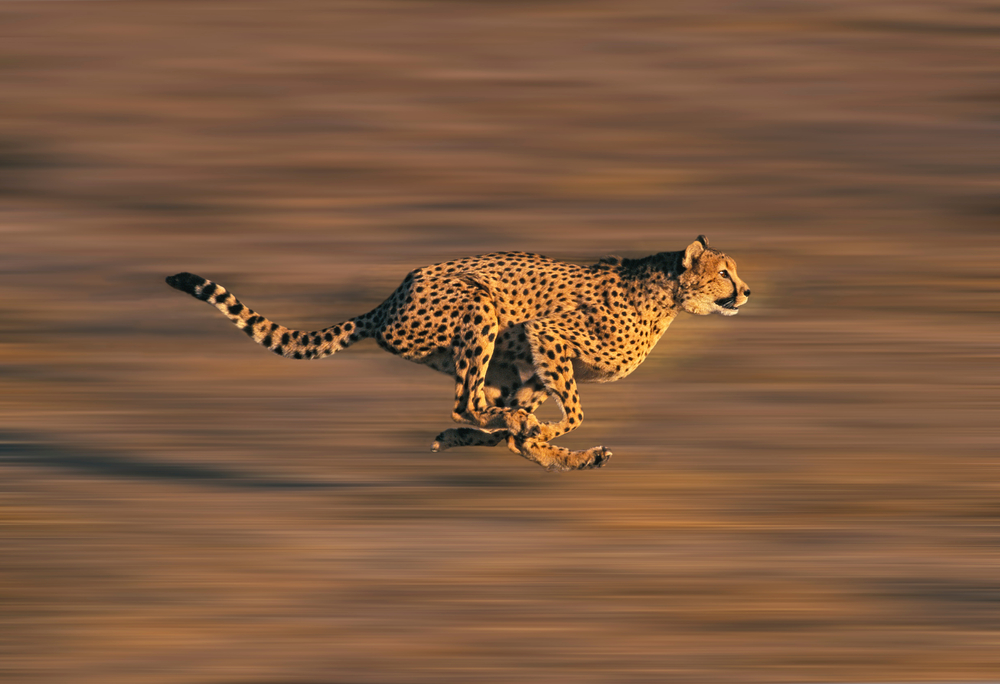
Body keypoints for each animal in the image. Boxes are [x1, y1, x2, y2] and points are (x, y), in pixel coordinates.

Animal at [166, 235, 750, 472]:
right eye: (724, 272)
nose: (746, 292)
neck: (668, 295)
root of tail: (392, 297)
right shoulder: (546, 333)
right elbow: (574, 412)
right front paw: (543, 431)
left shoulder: (533, 359)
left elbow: (534, 426)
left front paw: (544, 441)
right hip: (479, 307)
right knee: (468, 403)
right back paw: (508, 430)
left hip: (499, 356)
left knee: (482, 413)